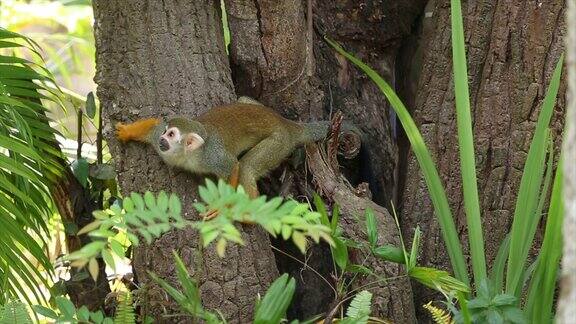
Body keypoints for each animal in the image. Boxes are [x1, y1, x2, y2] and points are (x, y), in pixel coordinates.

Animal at [115, 101, 354, 197]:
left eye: (172, 135)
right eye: (165, 132)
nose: (163, 139)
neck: (185, 155)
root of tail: (289, 124)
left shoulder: (211, 156)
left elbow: (233, 166)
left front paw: (223, 207)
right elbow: (151, 127)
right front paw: (126, 131)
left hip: (279, 142)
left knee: (247, 166)